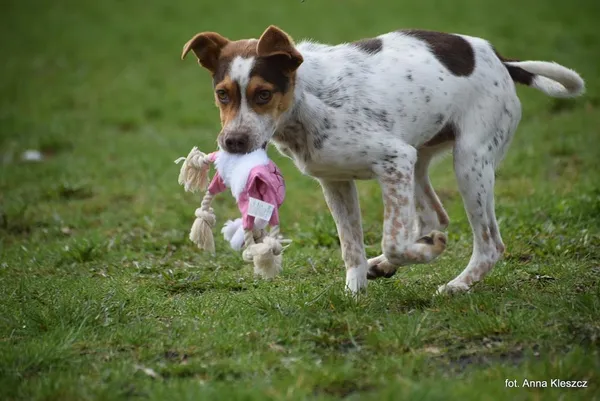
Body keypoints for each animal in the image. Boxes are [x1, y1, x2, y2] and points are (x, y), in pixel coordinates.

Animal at [182, 25, 584, 294]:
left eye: (263, 94)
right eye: (222, 95)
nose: (232, 143)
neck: (306, 102)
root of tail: (501, 59)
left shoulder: (393, 159)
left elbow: (392, 238)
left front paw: (427, 252)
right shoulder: (337, 181)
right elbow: (351, 247)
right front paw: (355, 290)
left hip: (469, 162)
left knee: (488, 244)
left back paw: (456, 283)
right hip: (420, 159)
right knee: (433, 216)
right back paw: (393, 262)